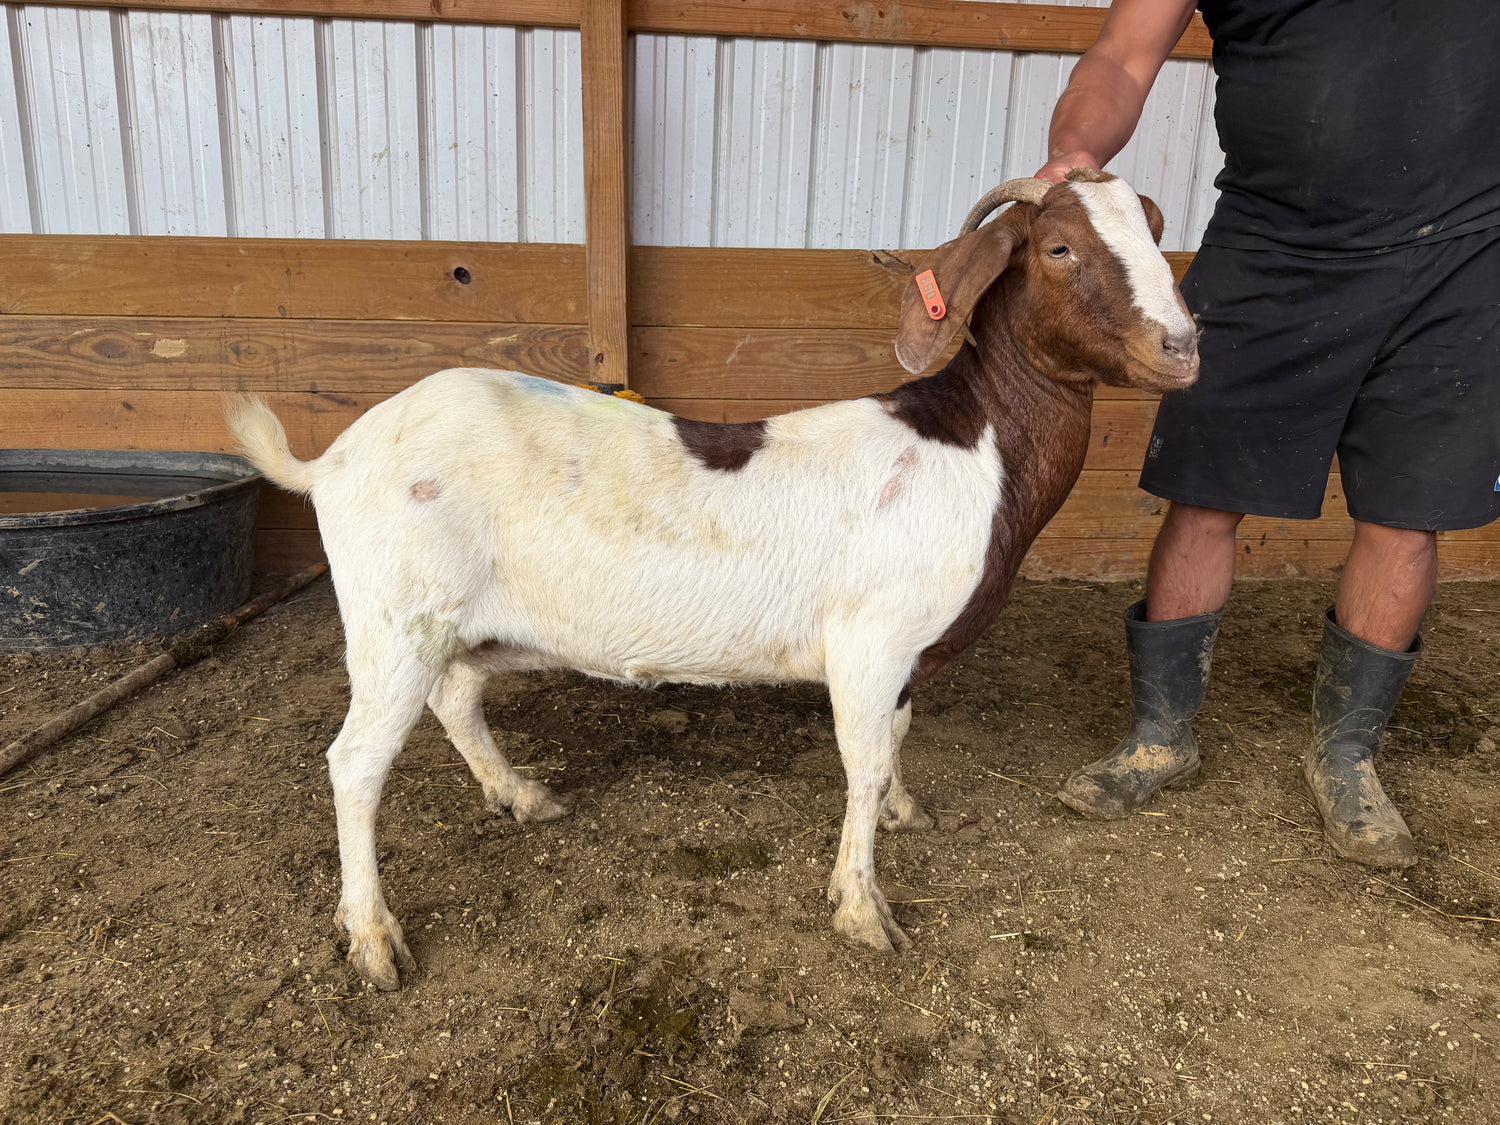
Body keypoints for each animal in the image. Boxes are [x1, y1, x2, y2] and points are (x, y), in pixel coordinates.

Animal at [228, 170, 1198, 990]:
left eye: (1154, 229)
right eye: (1059, 247)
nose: (1182, 347)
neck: (977, 447)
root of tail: (331, 458)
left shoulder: (902, 659)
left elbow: (895, 741)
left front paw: (903, 813)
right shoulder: (870, 641)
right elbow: (863, 760)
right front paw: (863, 908)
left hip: (465, 624)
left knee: (456, 697)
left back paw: (521, 795)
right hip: (396, 616)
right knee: (356, 762)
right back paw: (373, 939)